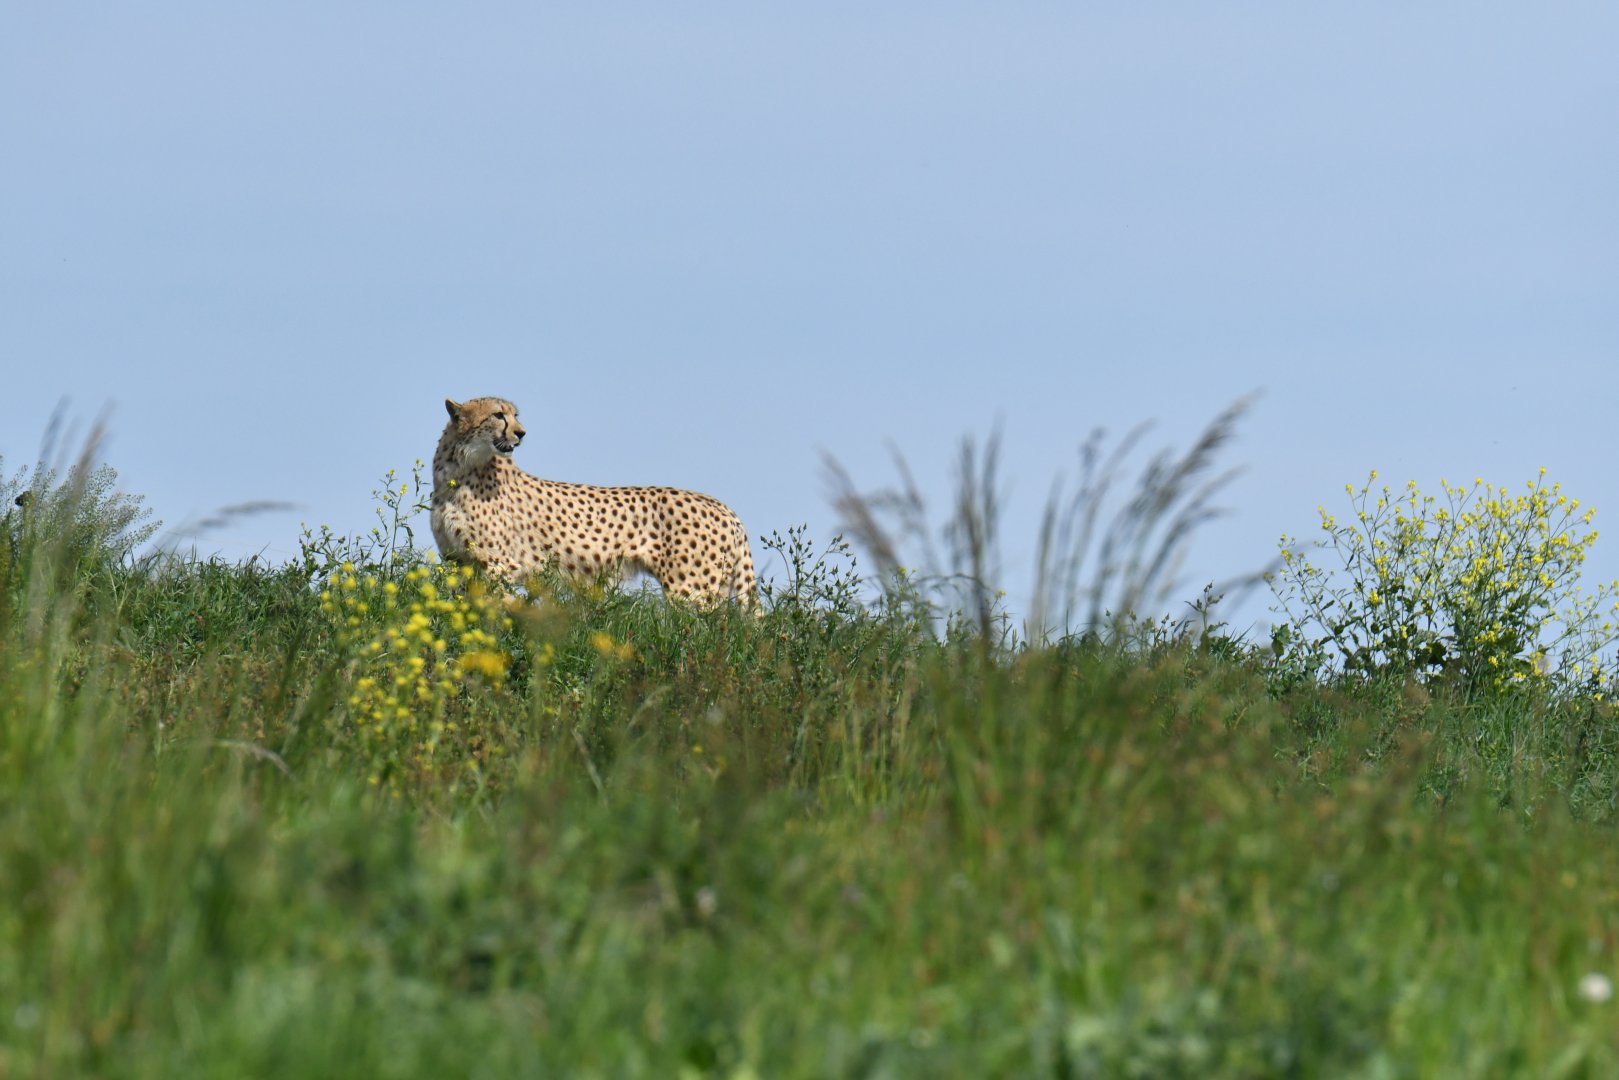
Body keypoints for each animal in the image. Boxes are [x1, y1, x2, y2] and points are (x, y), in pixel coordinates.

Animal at [429, 396, 758, 606]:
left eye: (515, 415)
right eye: (499, 415)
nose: (521, 433)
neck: (458, 470)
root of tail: (724, 507)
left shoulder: (499, 564)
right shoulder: (458, 561)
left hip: (691, 590)